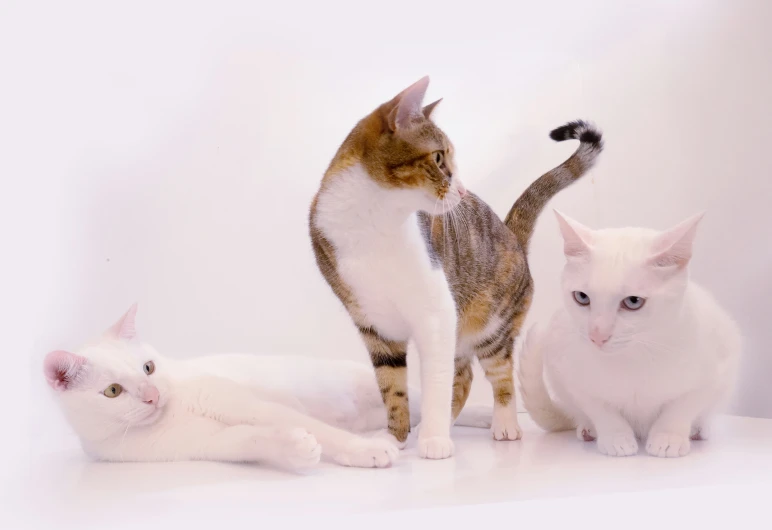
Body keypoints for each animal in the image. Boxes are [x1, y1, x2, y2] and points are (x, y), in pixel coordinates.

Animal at [48, 306, 492, 466]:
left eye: (149, 367)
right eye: (113, 391)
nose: (154, 396)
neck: (169, 416)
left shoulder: (245, 404)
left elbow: (316, 429)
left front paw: (361, 451)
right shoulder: (207, 444)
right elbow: (249, 440)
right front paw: (294, 448)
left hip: (394, 396)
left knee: (437, 405)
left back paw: (483, 421)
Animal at [310, 75, 604, 458]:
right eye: (438, 158)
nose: (462, 192)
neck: (371, 223)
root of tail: (511, 234)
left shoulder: (436, 313)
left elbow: (436, 381)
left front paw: (434, 440)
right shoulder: (374, 326)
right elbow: (392, 387)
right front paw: (395, 437)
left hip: (492, 325)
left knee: (497, 374)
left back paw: (504, 424)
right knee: (463, 377)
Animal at [520, 209, 740, 454]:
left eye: (633, 301)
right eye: (582, 297)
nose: (597, 335)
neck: (636, 356)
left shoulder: (717, 369)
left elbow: (682, 407)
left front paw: (668, 437)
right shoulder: (569, 374)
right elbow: (600, 409)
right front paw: (616, 438)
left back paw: (699, 430)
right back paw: (588, 429)